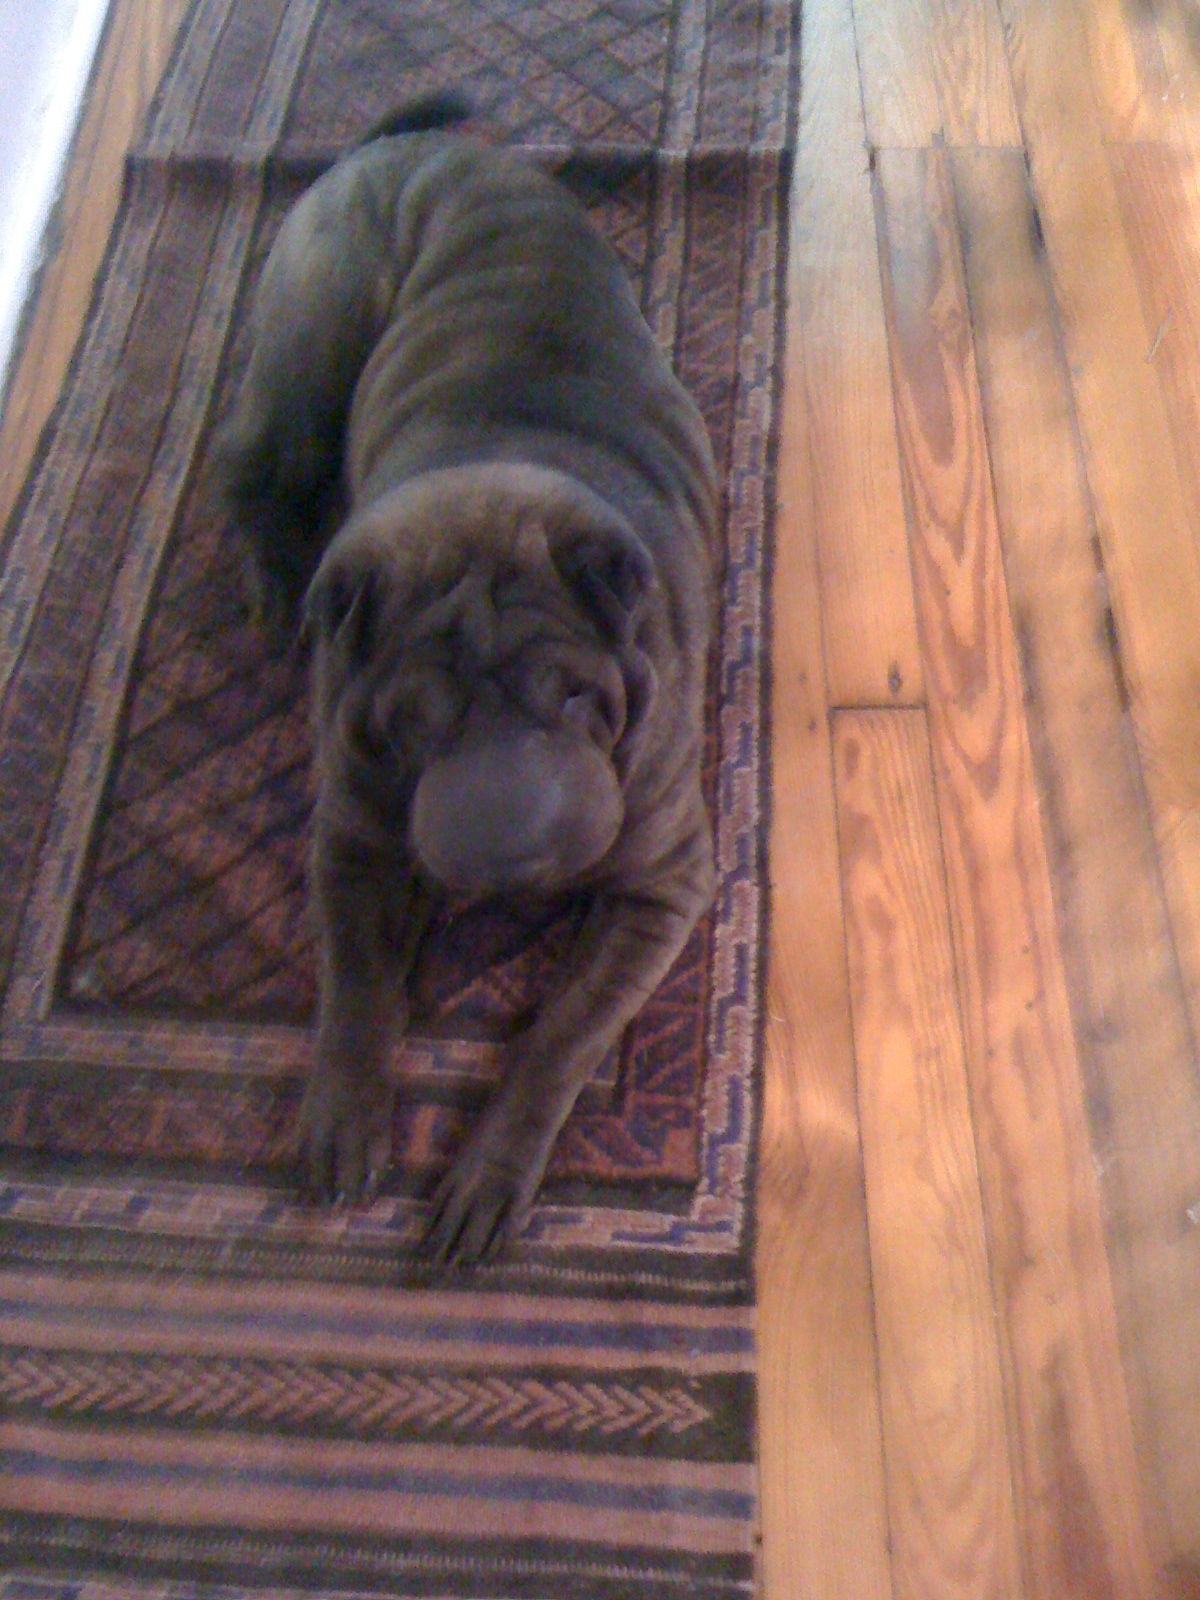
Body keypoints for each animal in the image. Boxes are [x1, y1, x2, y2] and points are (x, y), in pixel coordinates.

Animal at [217, 106, 720, 1267]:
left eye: (575, 695)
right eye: (414, 722)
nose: (510, 843)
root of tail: (405, 144)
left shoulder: (662, 881)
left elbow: (560, 1037)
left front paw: (488, 1174)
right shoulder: (353, 836)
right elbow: (357, 983)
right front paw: (344, 1119)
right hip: (308, 353)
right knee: (252, 469)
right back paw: (274, 584)